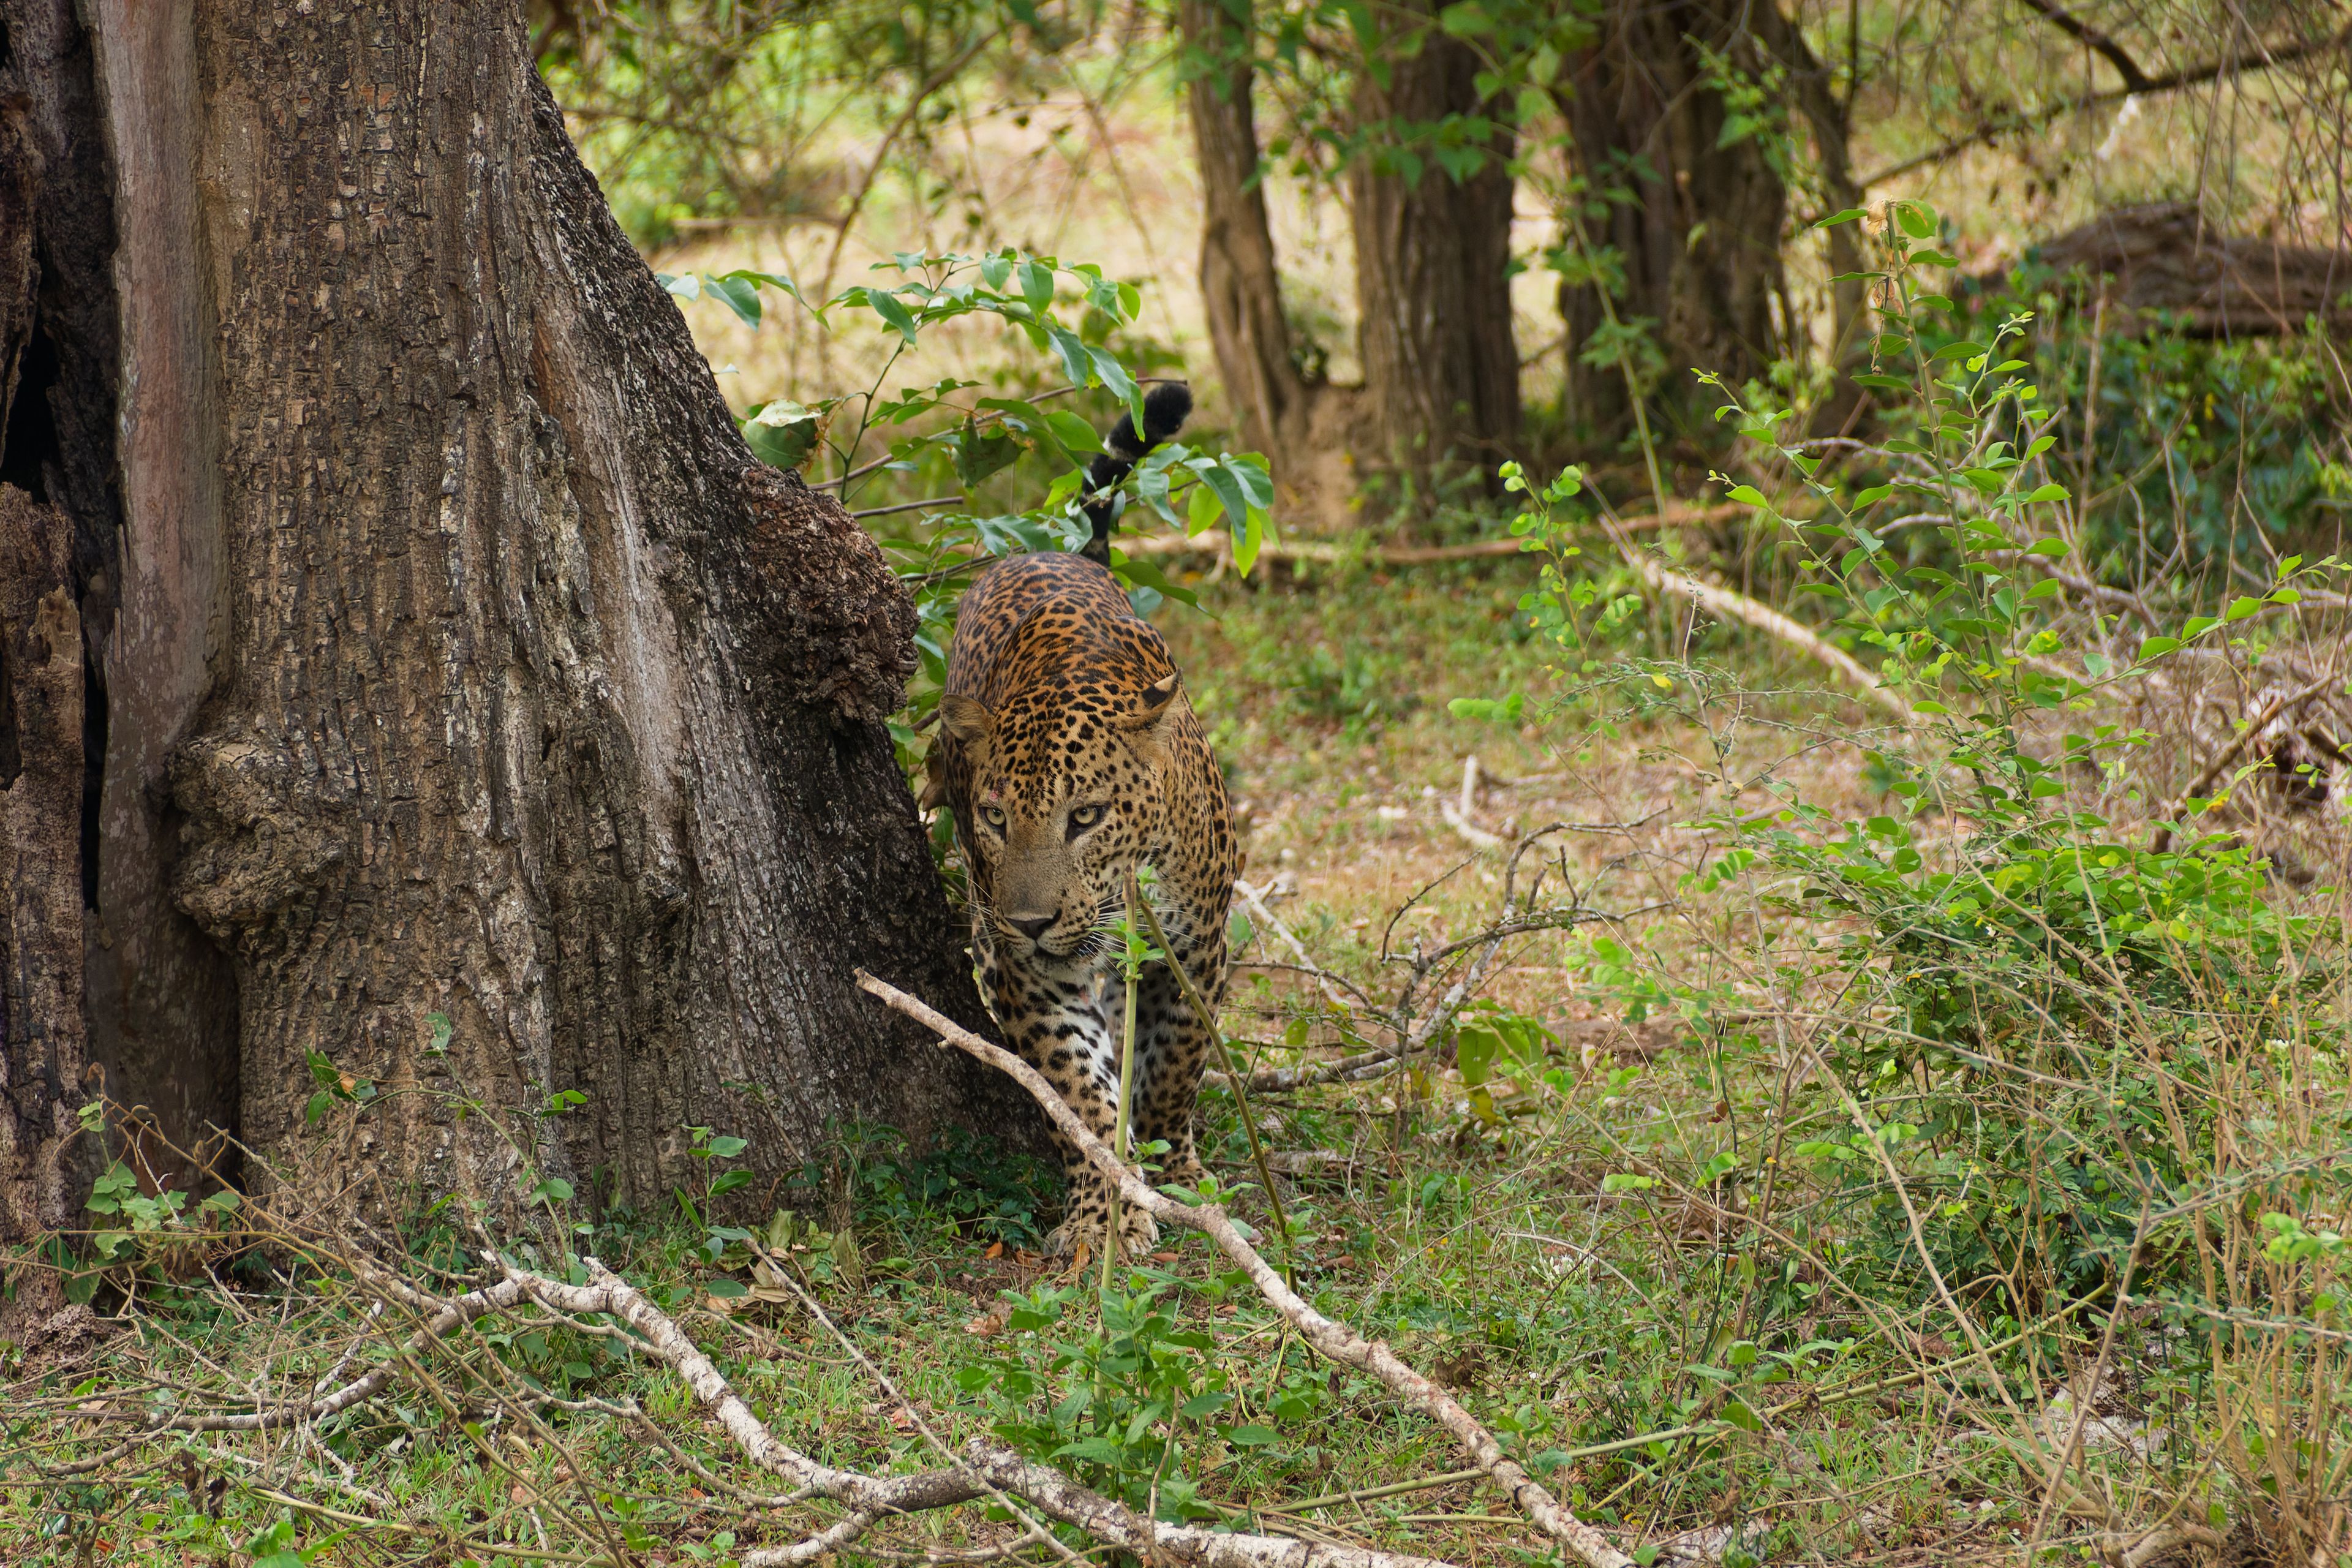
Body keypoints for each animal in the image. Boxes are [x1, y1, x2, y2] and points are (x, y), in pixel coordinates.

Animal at [924, 383, 1238, 1261]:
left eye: (1087, 816)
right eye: (996, 818)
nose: (1031, 922)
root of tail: (1053, 554)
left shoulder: (1196, 946)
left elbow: (1174, 1064)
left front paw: (1175, 1167)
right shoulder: (1035, 977)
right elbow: (1084, 1100)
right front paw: (1107, 1220)